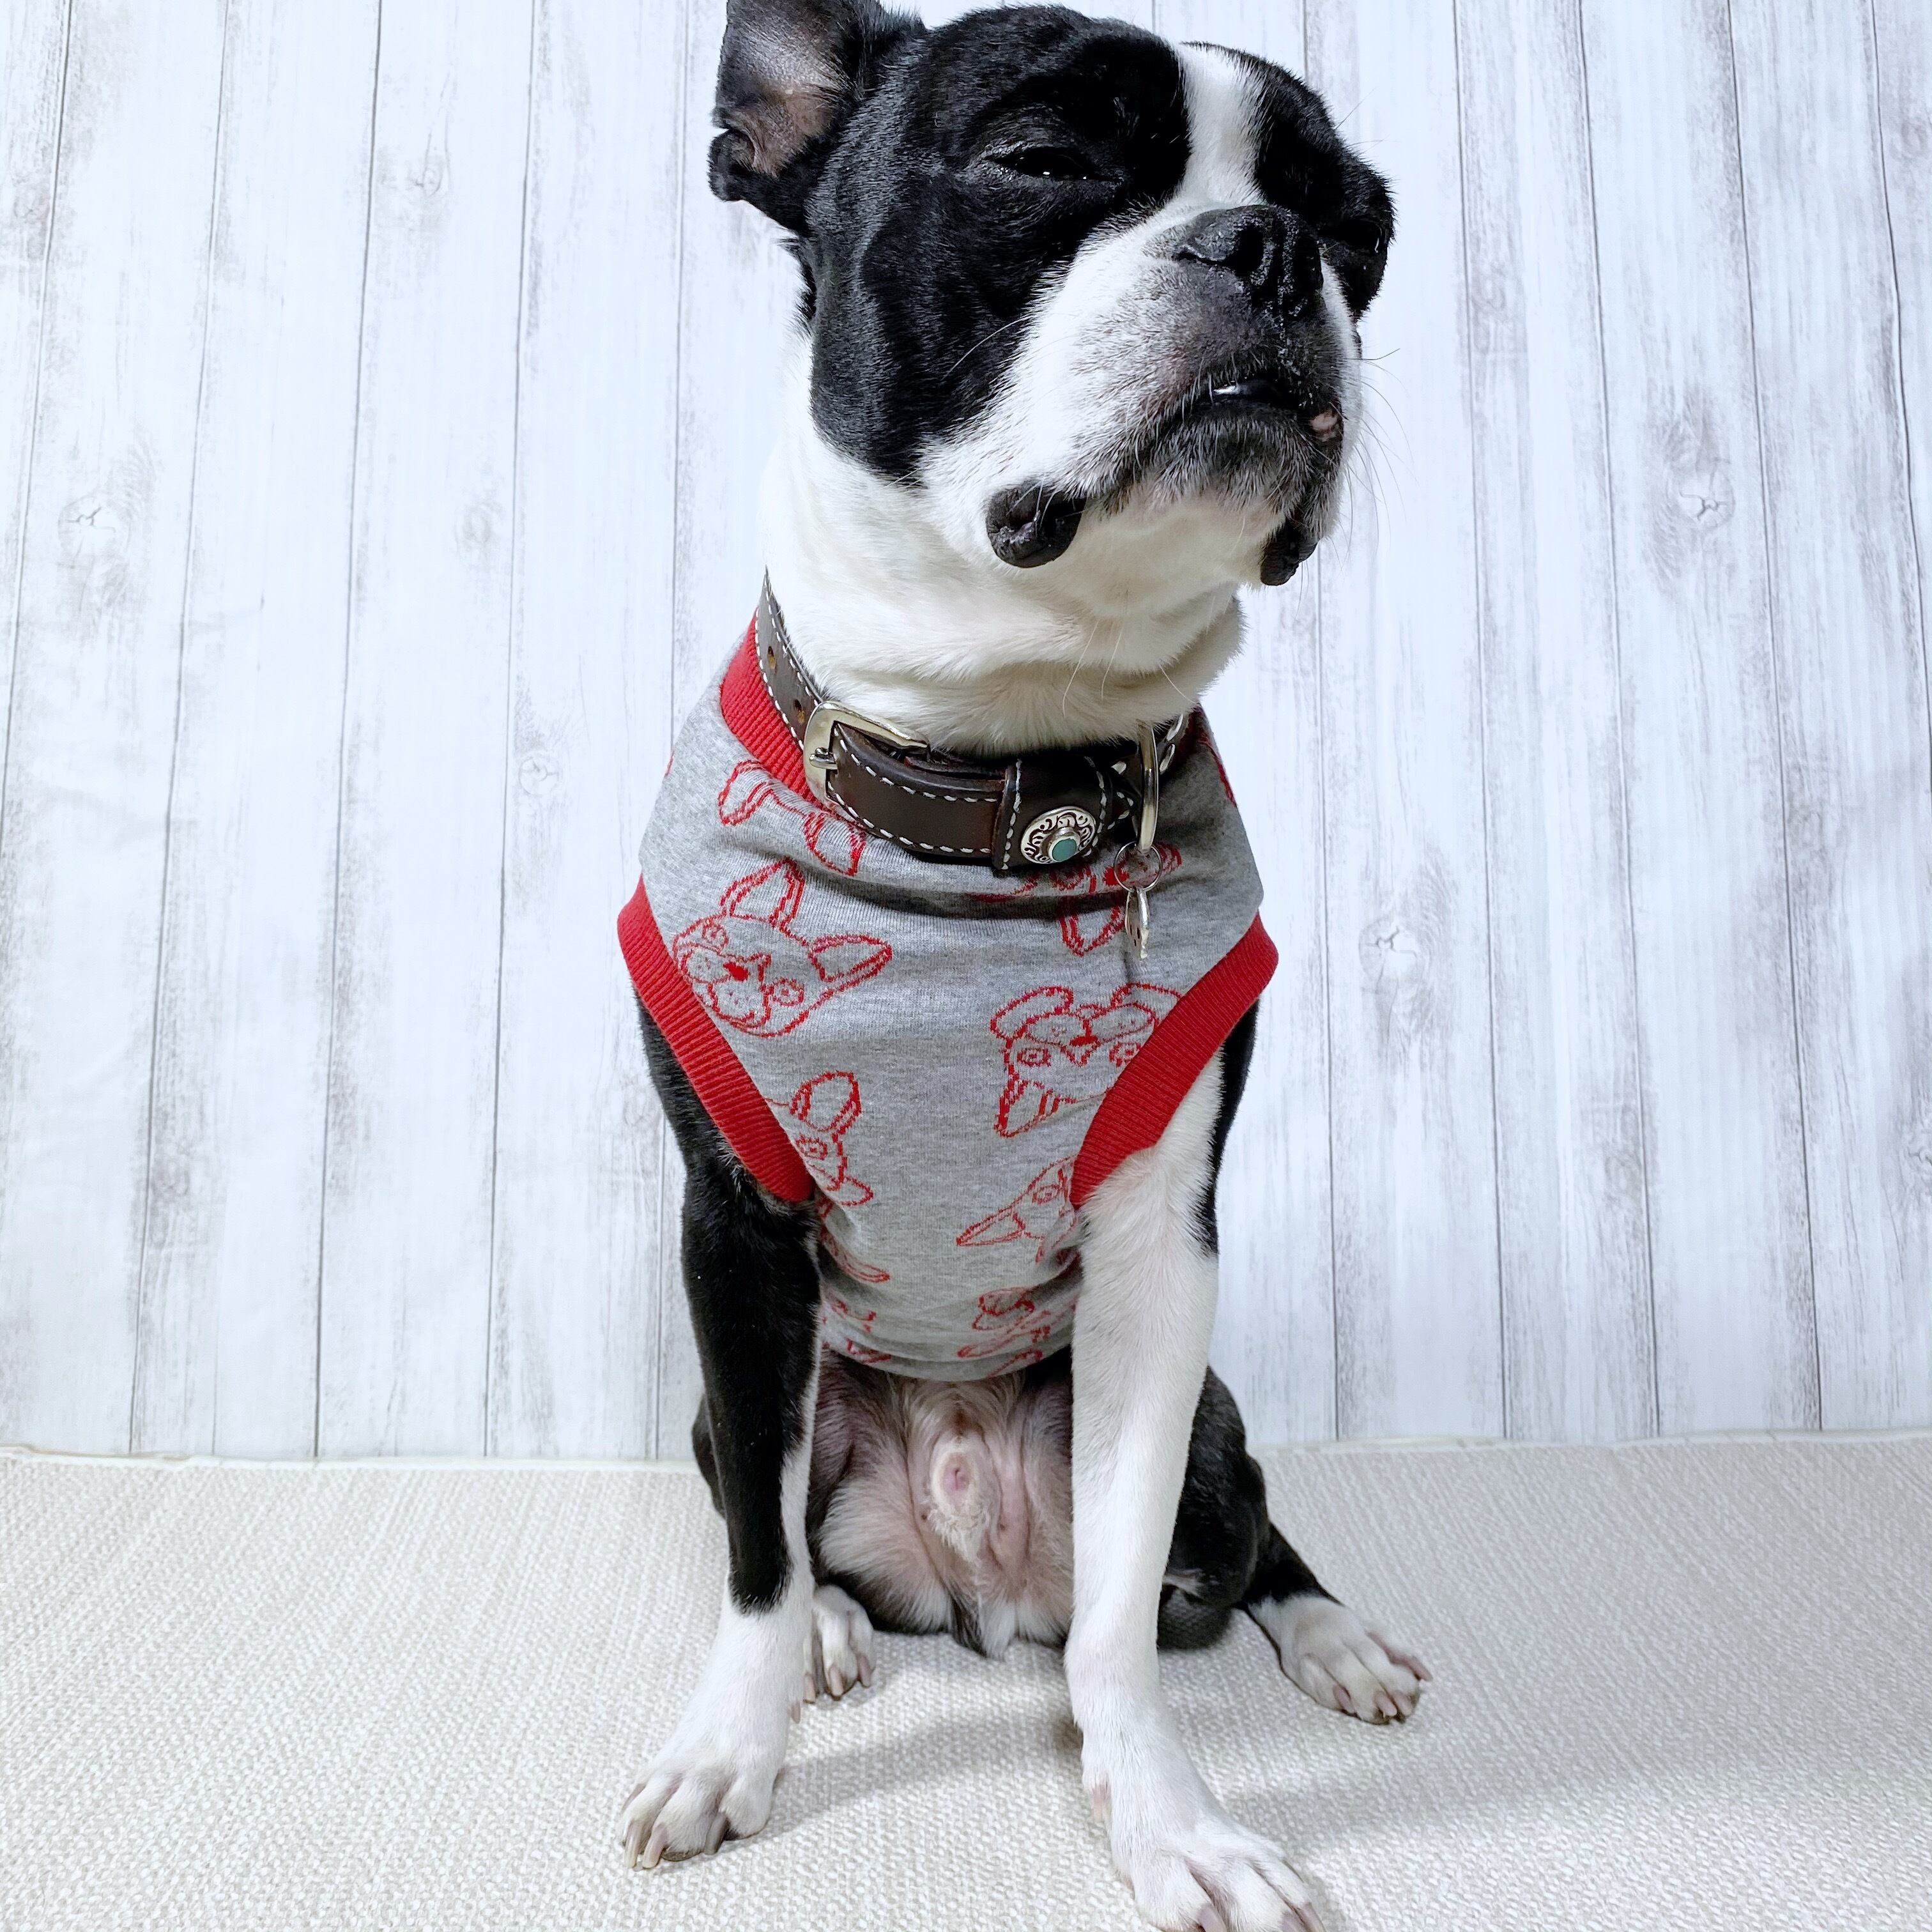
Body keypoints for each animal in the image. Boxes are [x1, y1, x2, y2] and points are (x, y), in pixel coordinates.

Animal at [616, 6, 1427, 1927]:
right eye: (1043, 164)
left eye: (1359, 233)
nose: (1270, 251)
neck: (989, 768)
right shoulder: (733, 1236)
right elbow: (752, 1567)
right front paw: (733, 1742)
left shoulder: (1154, 1256)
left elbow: (1121, 1630)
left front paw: (1170, 1822)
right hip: (744, 1404)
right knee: (779, 1520)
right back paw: (843, 1640)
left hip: (1208, 1435)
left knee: (1236, 1545)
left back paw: (1334, 1634)